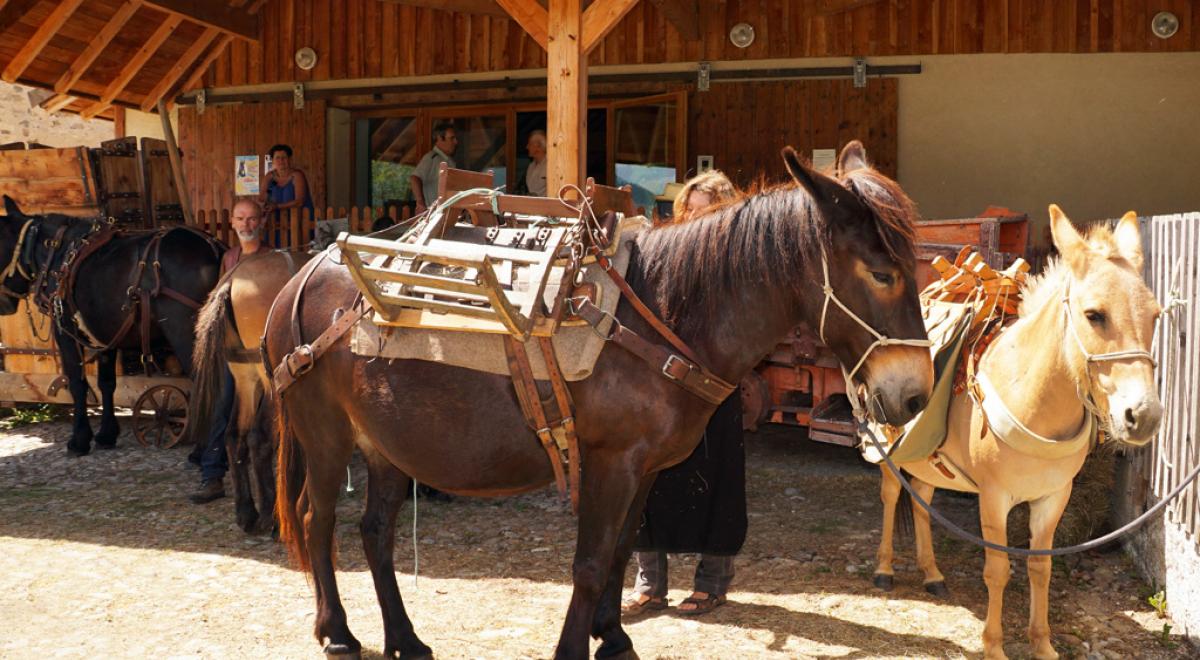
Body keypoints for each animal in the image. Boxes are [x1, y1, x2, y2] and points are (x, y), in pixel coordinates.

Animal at [0, 196, 222, 456]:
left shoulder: (66, 332)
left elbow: (77, 383)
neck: (59, 254)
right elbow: (107, 383)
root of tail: (214, 249)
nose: (3, 303)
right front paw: (107, 434)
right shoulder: (105, 338)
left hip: (187, 337)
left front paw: (79, 439)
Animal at [187, 249, 307, 533]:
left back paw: (246, 511)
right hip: (268, 381)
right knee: (258, 438)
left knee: (234, 435)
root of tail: (231, 280)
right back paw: (270, 516)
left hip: (246, 378)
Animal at [264, 142, 935, 659]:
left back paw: (405, 639)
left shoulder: (645, 468)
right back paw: (337, 633)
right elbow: (588, 564)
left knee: (375, 532)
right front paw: (576, 647)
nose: (914, 394)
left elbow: (618, 553)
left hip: (386, 445)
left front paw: (612, 639)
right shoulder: (610, 462)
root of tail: (302, 275)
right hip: (327, 437)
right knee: (316, 521)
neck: (660, 317)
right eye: (881, 273)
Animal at [872, 206, 1162, 660]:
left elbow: (1040, 568)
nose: (1143, 416)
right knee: (889, 495)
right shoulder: (994, 499)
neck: (1031, 397)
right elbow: (998, 570)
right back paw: (884, 568)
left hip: (930, 459)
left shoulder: (1053, 497)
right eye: (1094, 315)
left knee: (922, 501)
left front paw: (1042, 643)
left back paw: (932, 574)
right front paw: (993, 645)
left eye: (1155, 315)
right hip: (889, 449)